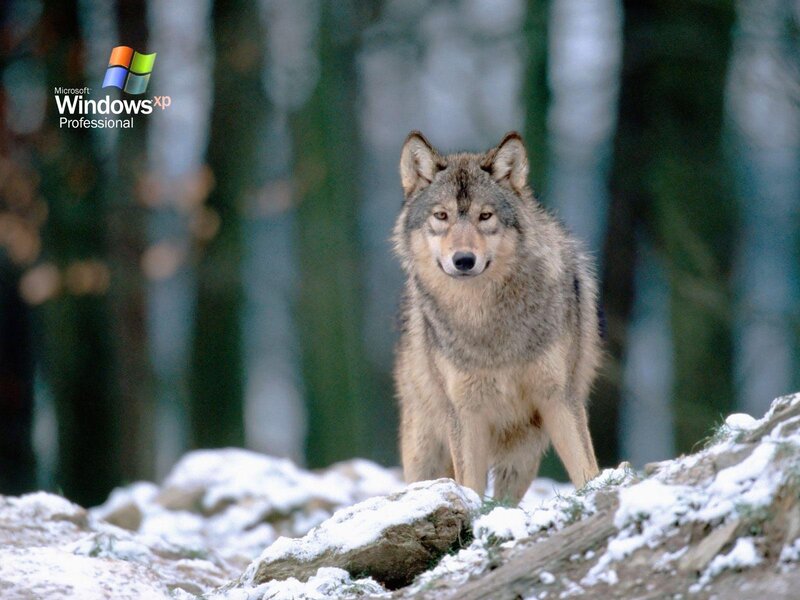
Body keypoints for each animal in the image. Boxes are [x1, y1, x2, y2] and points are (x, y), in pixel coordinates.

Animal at [393, 131, 601, 502]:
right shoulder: (465, 413)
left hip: (522, 455)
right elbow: (471, 487)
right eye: (442, 216)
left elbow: (586, 469)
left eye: (485, 216)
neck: (485, 320)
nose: (463, 260)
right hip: (425, 451)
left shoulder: (559, 397)